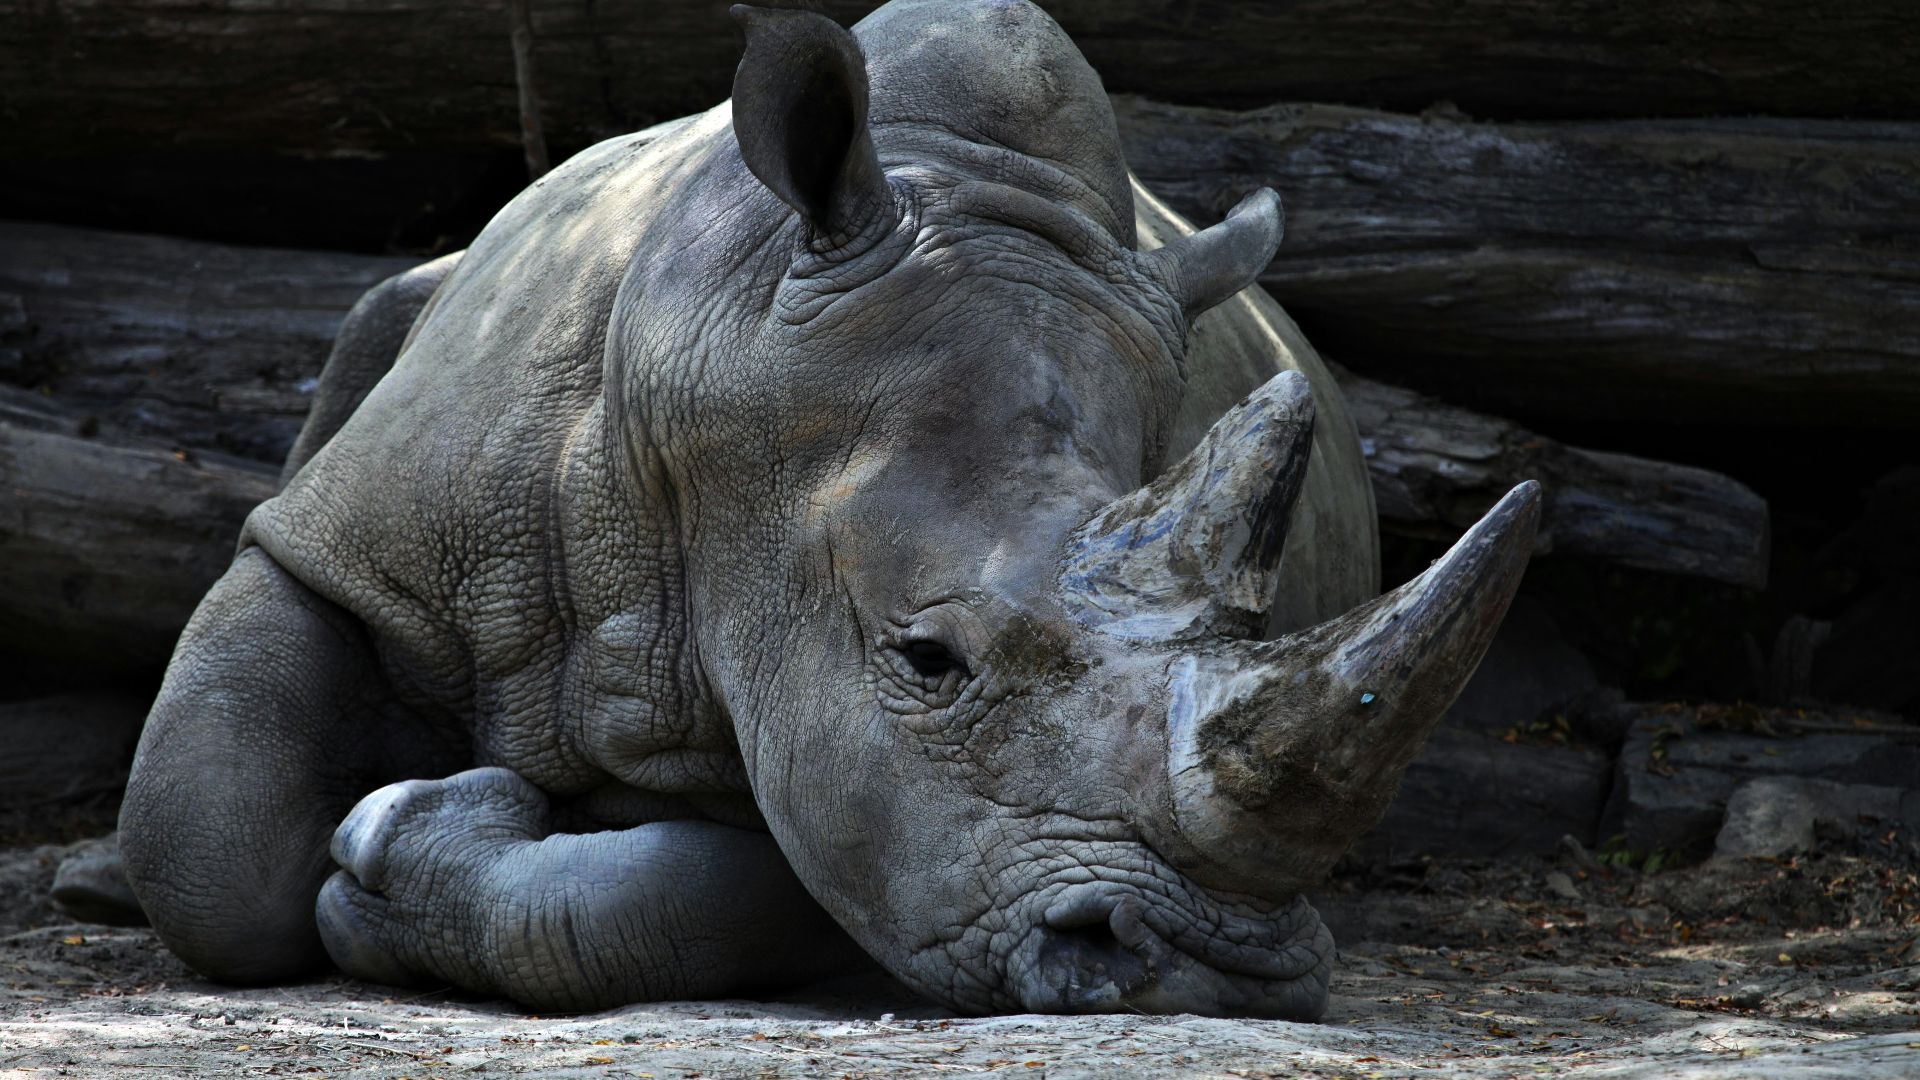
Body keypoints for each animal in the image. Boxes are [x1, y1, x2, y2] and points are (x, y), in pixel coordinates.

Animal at [115, 0, 1538, 1019]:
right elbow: (202, 838)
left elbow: (765, 879)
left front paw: (408, 843)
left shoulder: (865, 777)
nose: (1212, 971)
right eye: (928, 658)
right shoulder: (362, 541)